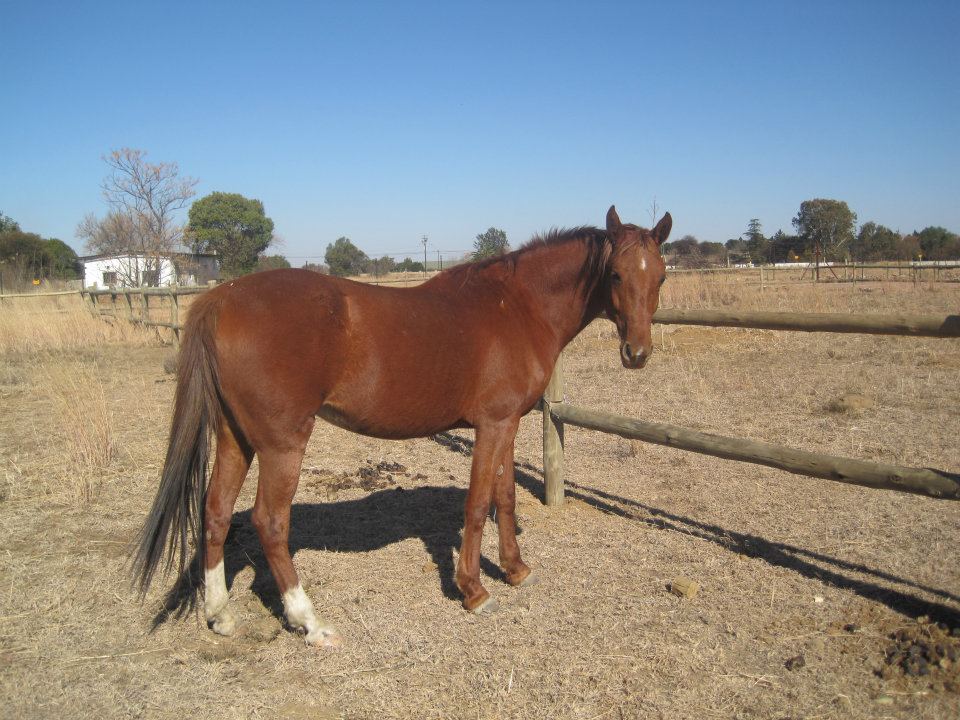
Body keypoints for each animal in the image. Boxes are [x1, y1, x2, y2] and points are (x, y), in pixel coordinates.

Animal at [132, 205, 671, 647]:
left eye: (661, 277)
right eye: (615, 273)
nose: (637, 353)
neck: (517, 305)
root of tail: (219, 299)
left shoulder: (509, 424)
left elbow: (506, 496)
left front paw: (516, 570)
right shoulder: (493, 425)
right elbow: (478, 504)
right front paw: (474, 590)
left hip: (234, 437)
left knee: (216, 512)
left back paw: (220, 614)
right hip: (282, 444)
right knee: (270, 522)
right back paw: (309, 621)